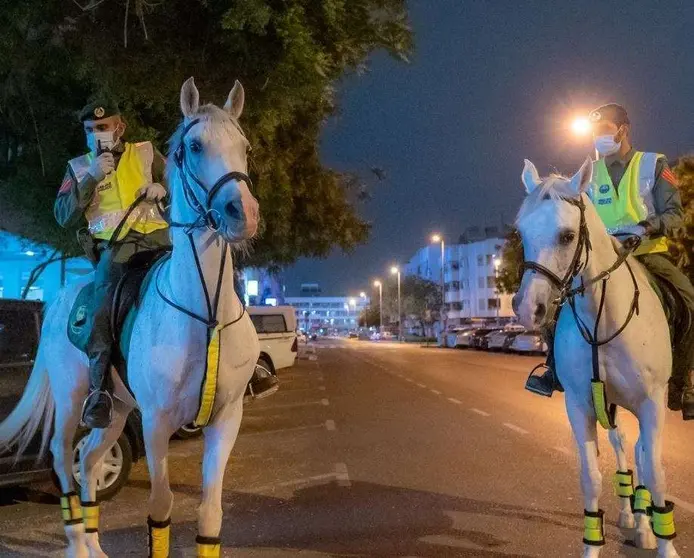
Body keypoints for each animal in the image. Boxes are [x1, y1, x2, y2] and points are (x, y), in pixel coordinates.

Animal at [0, 79, 260, 558]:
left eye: (245, 147)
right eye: (194, 146)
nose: (242, 214)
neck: (204, 313)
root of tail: (59, 300)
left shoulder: (226, 419)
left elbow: (210, 514)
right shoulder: (157, 423)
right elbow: (160, 508)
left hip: (117, 410)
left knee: (89, 460)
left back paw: (94, 543)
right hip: (72, 401)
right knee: (64, 459)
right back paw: (76, 543)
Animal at [520, 159, 684, 558]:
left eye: (566, 236)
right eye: (521, 233)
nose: (527, 309)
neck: (603, 317)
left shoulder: (652, 401)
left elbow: (655, 471)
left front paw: (664, 544)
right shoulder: (581, 404)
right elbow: (591, 477)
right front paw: (594, 545)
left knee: (640, 453)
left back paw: (644, 524)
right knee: (625, 447)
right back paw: (632, 515)